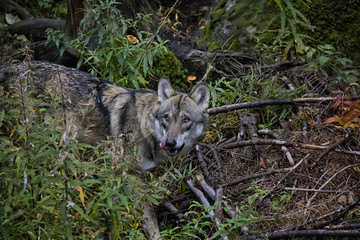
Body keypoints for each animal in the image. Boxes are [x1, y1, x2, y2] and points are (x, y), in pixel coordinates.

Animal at [0, 60, 211, 172]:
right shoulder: (118, 168)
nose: (170, 143)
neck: (144, 127)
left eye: (186, 120)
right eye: (166, 117)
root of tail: (9, 66)